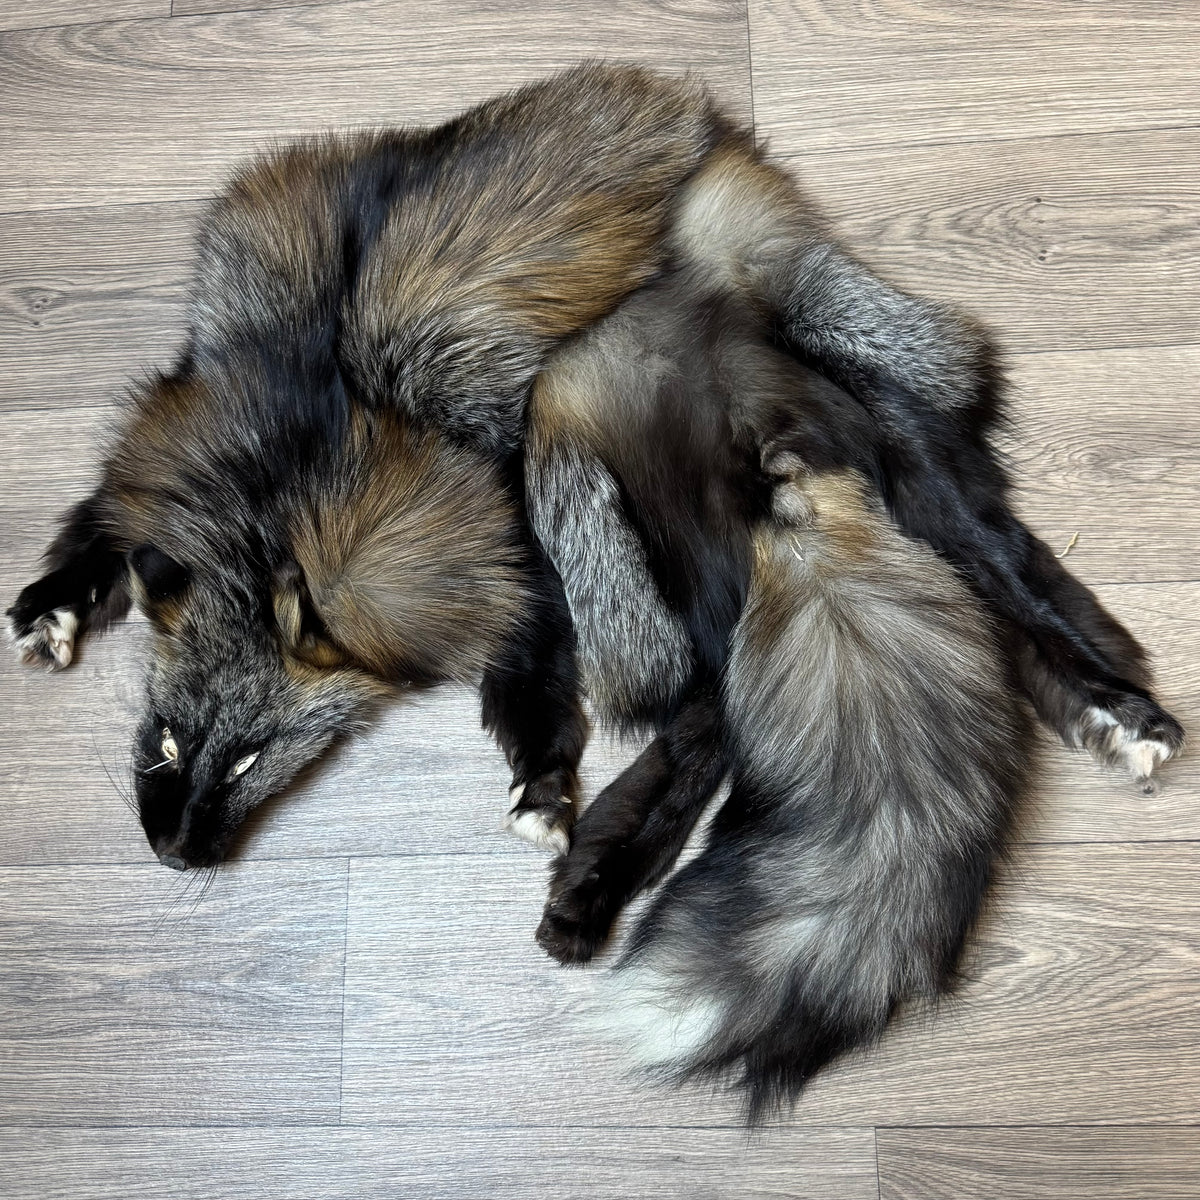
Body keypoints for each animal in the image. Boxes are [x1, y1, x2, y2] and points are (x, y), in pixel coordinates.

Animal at [7, 63, 1183, 1116]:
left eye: (255, 755)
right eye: (164, 740)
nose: (171, 851)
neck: (290, 453)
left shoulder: (501, 537)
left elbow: (525, 679)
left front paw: (543, 785)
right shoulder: (180, 420)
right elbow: (100, 514)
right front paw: (58, 595)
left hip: (612, 477)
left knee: (726, 698)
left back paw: (594, 886)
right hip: (883, 464)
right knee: (996, 594)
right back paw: (1120, 713)